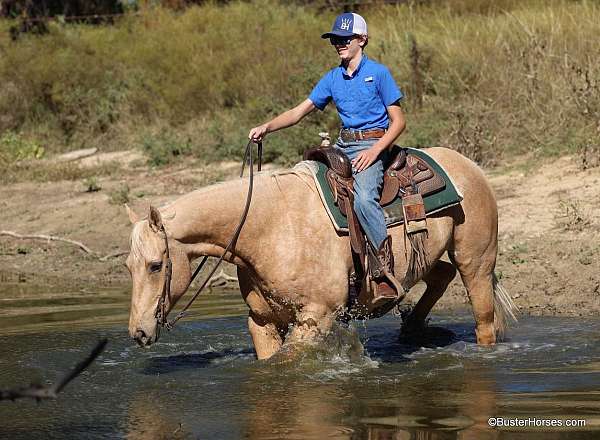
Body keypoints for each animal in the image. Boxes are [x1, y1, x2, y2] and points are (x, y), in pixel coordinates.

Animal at [125, 146, 516, 360]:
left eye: (156, 265)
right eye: (129, 267)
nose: (138, 333)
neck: (269, 227)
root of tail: (468, 166)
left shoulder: (316, 317)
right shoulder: (263, 321)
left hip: (476, 261)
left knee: (483, 317)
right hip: (418, 260)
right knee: (440, 275)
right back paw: (411, 328)